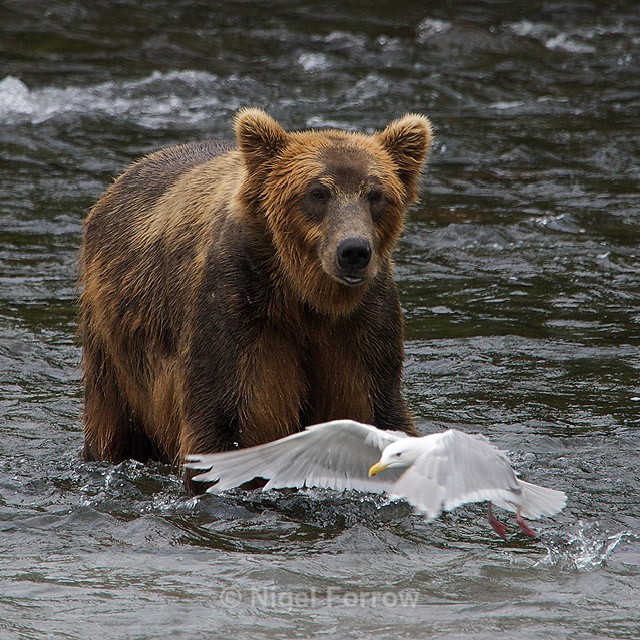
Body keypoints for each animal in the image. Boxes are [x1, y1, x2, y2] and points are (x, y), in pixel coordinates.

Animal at [78, 109, 433, 486]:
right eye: (317, 192)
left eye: (376, 194)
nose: (353, 250)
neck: (304, 296)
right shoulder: (240, 312)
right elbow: (225, 418)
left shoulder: (360, 331)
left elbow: (374, 411)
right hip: (114, 345)